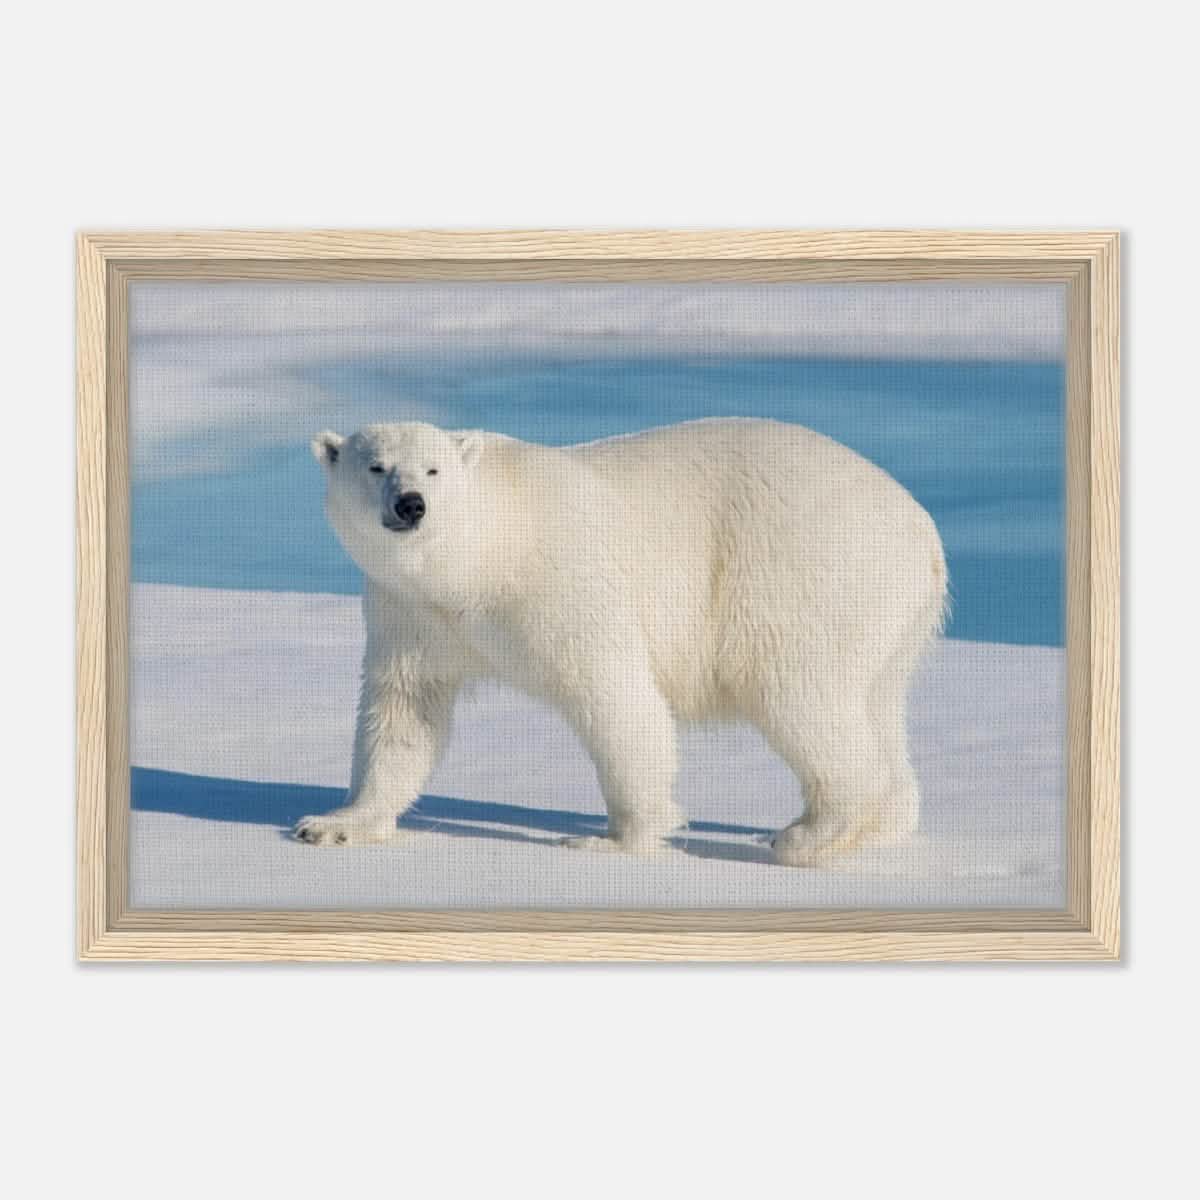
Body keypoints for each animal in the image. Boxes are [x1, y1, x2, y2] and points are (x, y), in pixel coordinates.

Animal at [293, 417, 947, 866]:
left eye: (433, 470)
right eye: (376, 466)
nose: (412, 505)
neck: (481, 556)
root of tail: (922, 527)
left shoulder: (560, 583)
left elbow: (615, 697)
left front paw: (612, 840)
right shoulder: (412, 611)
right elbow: (404, 711)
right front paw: (333, 824)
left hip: (800, 574)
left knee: (799, 696)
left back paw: (806, 834)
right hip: (887, 618)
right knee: (876, 705)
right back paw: (881, 824)